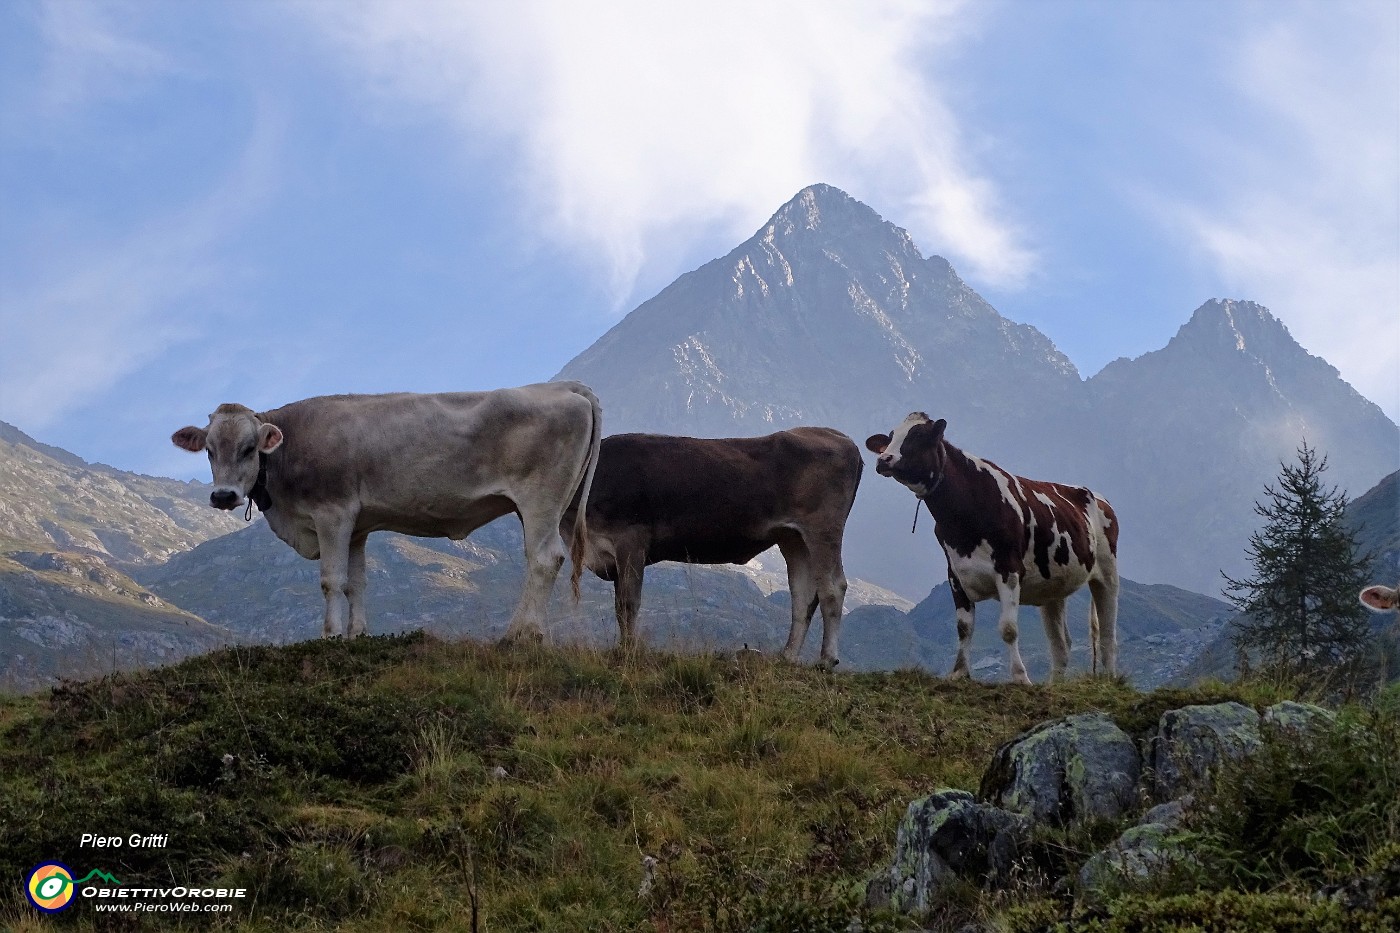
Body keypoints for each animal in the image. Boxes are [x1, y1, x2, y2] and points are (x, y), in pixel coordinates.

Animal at [565, 425, 851, 664]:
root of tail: (834, 434)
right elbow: (619, 606)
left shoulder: (632, 541)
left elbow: (627, 603)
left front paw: (628, 650)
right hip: (793, 539)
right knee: (802, 595)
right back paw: (788, 656)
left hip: (823, 531)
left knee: (832, 587)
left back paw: (827, 660)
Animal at [868, 414, 1120, 683]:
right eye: (890, 437)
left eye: (917, 435)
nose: (884, 459)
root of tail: (1094, 495)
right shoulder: (955, 573)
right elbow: (964, 628)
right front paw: (959, 672)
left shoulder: (1009, 569)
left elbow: (1008, 629)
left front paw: (1020, 678)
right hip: (1053, 585)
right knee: (1061, 644)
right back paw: (1053, 684)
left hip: (1107, 573)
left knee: (1108, 636)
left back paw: (1110, 680)